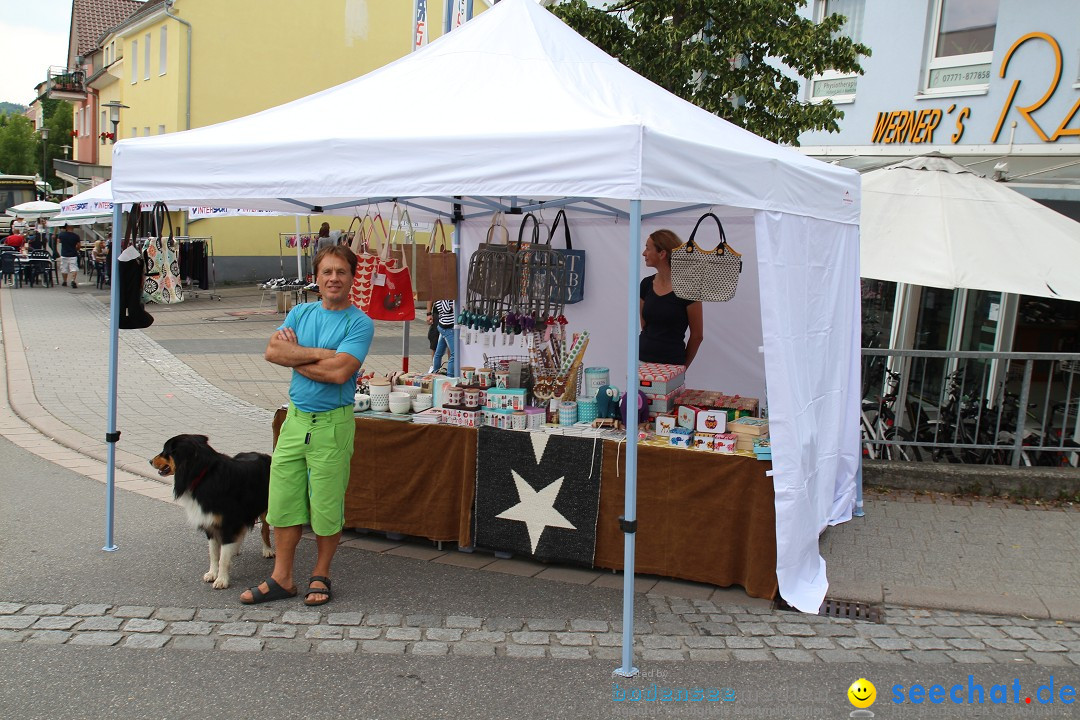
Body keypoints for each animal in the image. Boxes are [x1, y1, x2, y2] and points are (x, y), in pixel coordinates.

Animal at [152, 436, 274, 587]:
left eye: (165, 451)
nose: (150, 461)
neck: (203, 475)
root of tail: (263, 455)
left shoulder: (228, 523)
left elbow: (223, 558)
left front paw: (222, 580)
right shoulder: (210, 523)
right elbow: (214, 554)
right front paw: (212, 574)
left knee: (264, 529)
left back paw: (267, 550)